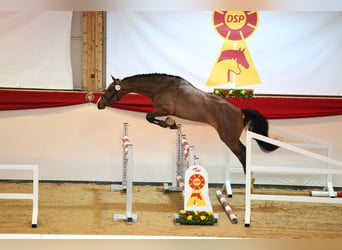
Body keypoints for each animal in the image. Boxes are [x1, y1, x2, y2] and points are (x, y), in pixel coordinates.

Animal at [97, 73, 278, 173]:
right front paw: (172, 125)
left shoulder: (165, 109)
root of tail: (239, 110)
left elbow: (149, 117)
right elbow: (150, 118)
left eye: (111, 89)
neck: (160, 87)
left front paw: (169, 124)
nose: (100, 104)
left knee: (243, 154)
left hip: (229, 138)